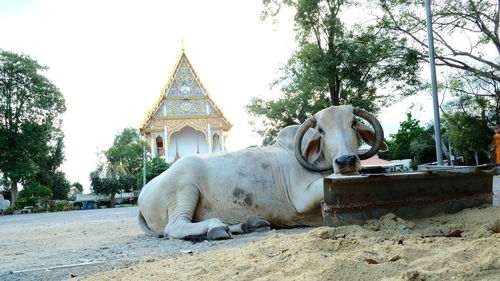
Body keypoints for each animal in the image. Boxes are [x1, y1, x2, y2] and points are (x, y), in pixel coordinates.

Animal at [139, 105, 384, 238]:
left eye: (353, 123)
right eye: (321, 130)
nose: (346, 160)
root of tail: (144, 193)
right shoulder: (300, 199)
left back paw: (248, 224)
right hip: (185, 186)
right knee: (175, 227)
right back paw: (216, 228)